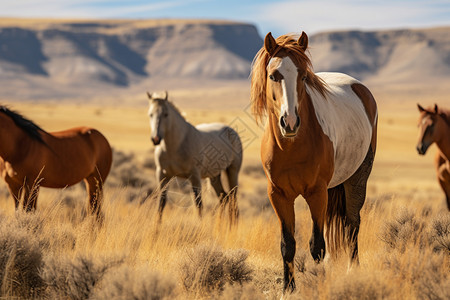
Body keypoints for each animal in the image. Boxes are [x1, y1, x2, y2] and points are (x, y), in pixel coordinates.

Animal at [147, 91, 243, 223]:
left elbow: (199, 204)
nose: (155, 139)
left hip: (232, 171)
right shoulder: (162, 175)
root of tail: (232, 131)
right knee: (224, 197)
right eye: (150, 114)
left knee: (233, 198)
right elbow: (161, 203)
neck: (176, 146)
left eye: (166, 114)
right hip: (214, 176)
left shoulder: (195, 176)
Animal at [251, 31, 378, 292]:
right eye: (273, 75)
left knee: (352, 223)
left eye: (303, 77)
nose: (290, 122)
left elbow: (317, 246)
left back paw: (353, 270)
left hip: (357, 178)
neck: (292, 147)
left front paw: (320, 283)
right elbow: (287, 244)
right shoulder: (278, 195)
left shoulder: (317, 193)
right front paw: (288, 289)